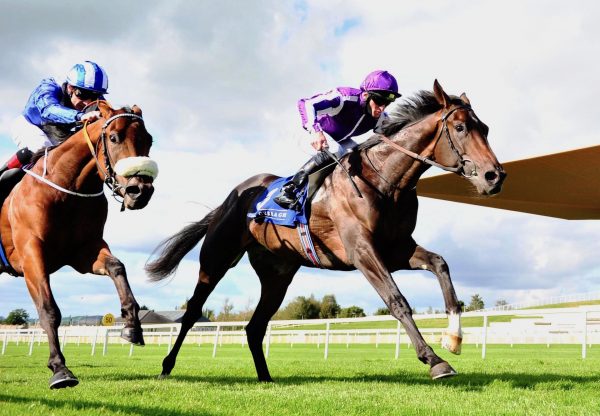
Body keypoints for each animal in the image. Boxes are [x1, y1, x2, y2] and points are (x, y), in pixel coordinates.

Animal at [2, 102, 157, 388]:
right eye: (114, 137)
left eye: (149, 140)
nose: (140, 191)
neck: (66, 186)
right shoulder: (31, 253)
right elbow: (48, 309)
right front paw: (60, 369)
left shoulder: (85, 251)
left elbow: (117, 267)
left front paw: (132, 327)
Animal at [146, 80, 506, 380]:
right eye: (460, 127)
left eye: (486, 128)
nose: (495, 176)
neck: (384, 181)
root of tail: (232, 197)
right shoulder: (363, 251)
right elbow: (397, 300)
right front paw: (434, 360)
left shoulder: (396, 249)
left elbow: (440, 264)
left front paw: (454, 338)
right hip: (217, 259)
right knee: (193, 312)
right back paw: (166, 366)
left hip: (277, 274)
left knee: (254, 327)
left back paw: (265, 377)